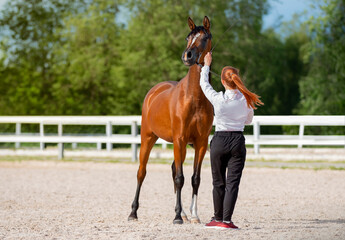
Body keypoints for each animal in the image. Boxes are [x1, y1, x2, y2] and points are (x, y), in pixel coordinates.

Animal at [127, 15, 211, 224]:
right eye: (188, 37)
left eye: (205, 37)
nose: (188, 56)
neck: (194, 97)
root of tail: (154, 91)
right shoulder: (179, 139)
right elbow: (180, 178)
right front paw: (177, 217)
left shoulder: (201, 143)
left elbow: (195, 178)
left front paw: (194, 215)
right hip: (148, 138)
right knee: (142, 172)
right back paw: (133, 213)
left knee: (174, 169)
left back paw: (184, 213)